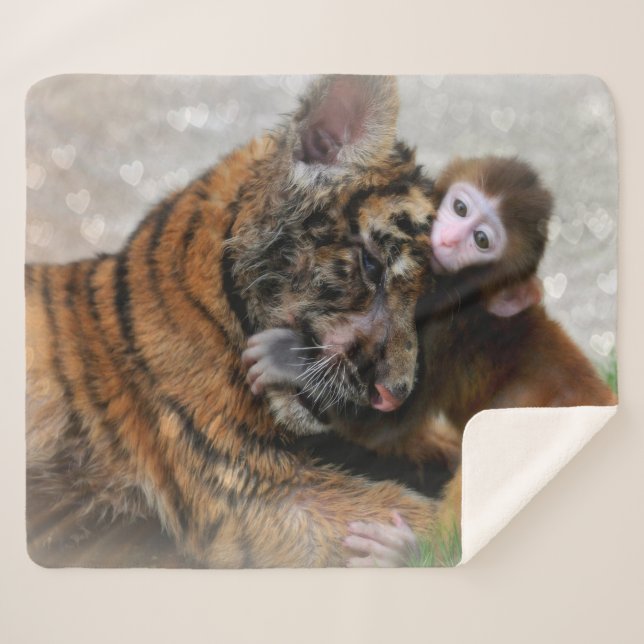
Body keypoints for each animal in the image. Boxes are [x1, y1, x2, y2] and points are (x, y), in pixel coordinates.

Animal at [242, 155, 616, 566]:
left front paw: (289, 358)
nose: (449, 239)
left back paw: (411, 554)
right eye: (460, 207)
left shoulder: (442, 333)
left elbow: (382, 423)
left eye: (481, 240)